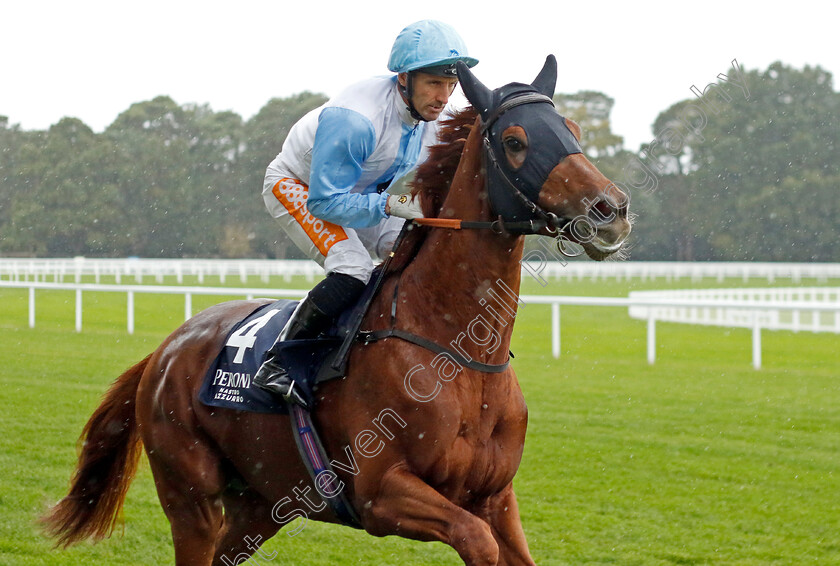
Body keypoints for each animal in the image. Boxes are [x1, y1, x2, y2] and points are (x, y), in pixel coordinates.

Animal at [41, 54, 632, 566]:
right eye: (515, 141)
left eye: (574, 131)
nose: (611, 210)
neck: (457, 354)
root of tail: (166, 348)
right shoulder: (382, 494)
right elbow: (475, 540)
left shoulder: (495, 497)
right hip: (190, 493)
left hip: (262, 500)